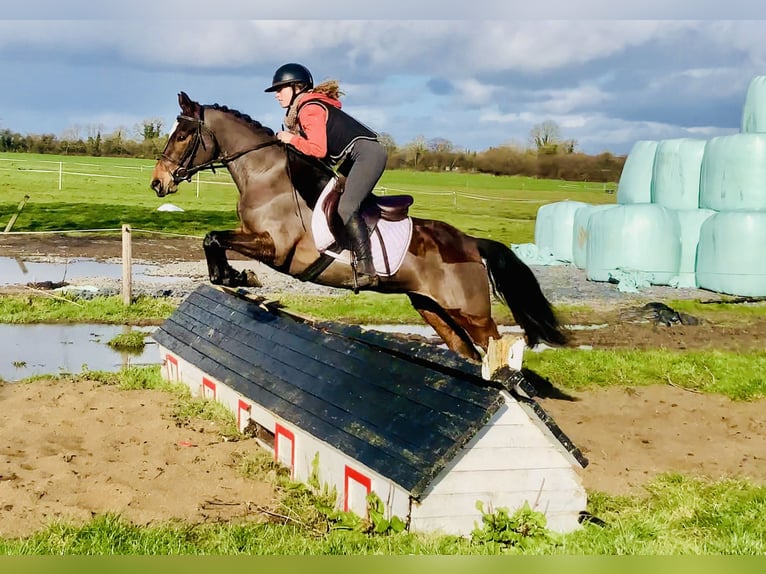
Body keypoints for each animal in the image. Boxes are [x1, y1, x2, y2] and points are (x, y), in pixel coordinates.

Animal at [152, 93, 568, 364]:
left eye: (183, 135)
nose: (159, 183)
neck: (266, 175)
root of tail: (470, 243)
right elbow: (213, 239)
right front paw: (233, 276)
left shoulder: (277, 248)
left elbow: (214, 238)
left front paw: (237, 275)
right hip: (433, 309)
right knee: (468, 353)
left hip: (473, 313)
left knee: (498, 350)